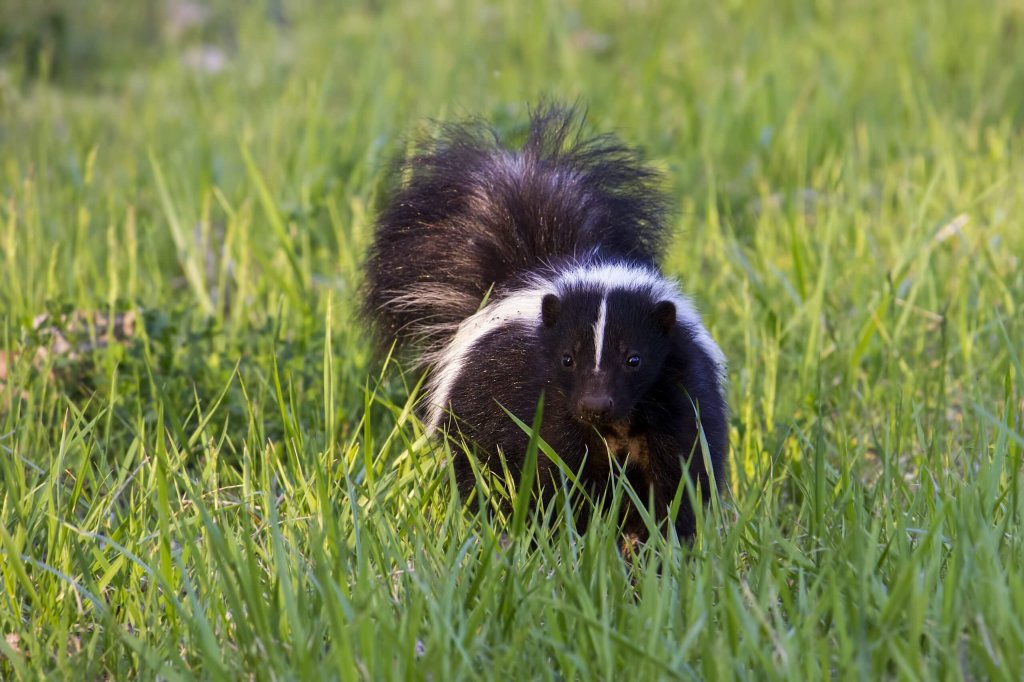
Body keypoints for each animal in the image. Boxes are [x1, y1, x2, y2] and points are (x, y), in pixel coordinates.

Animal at [362, 106, 729, 540]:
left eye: (634, 360)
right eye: (567, 359)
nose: (594, 405)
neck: (617, 429)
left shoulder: (679, 398)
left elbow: (679, 478)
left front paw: (655, 541)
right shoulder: (544, 404)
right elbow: (553, 475)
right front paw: (567, 536)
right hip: (472, 416)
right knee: (477, 471)